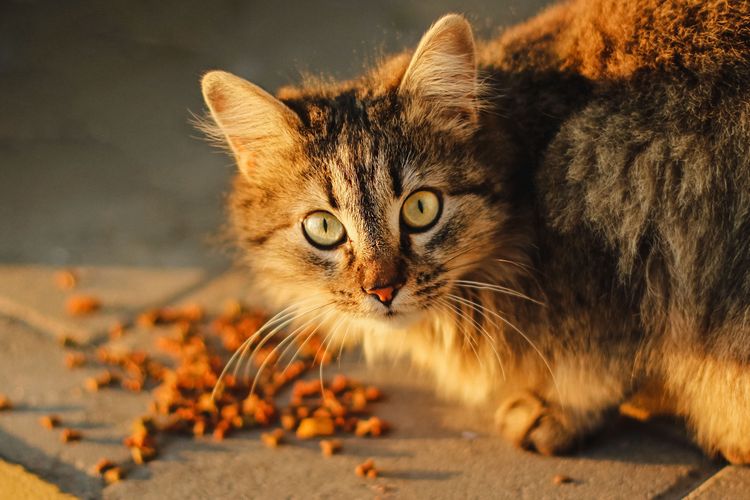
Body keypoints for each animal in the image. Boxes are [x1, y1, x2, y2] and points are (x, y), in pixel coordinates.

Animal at [198, 0, 750, 462]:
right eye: (323, 228)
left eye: (421, 208)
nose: (383, 289)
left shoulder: (613, 242)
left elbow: (595, 365)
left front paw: (555, 409)